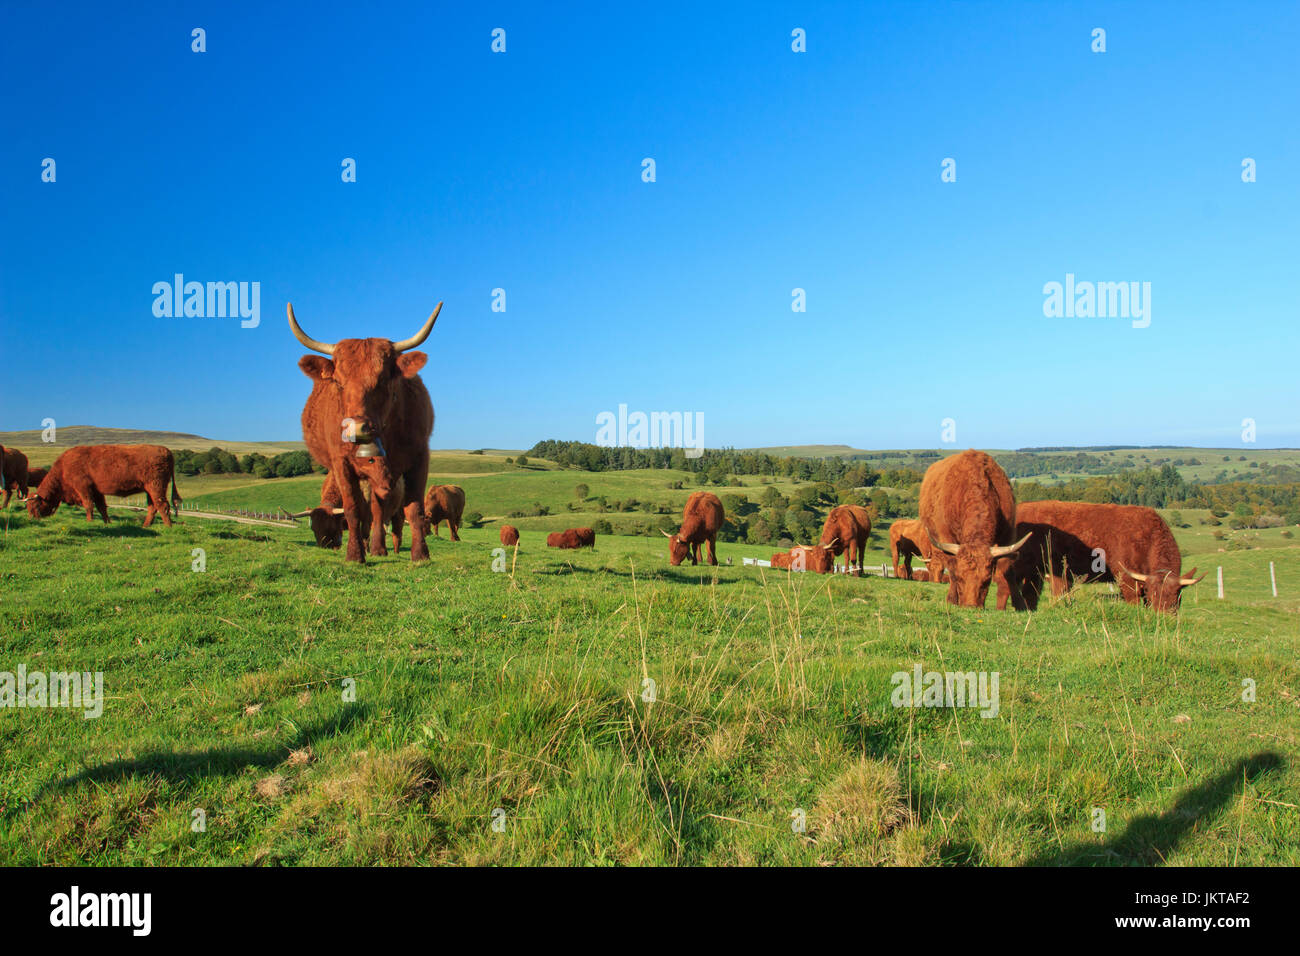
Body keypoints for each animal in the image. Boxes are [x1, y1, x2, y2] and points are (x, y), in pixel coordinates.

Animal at [25, 444, 180, 528]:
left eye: (35, 505)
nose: (32, 519)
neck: (63, 468)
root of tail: (166, 451)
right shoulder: (97, 491)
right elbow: (101, 507)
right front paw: (107, 522)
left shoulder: (83, 488)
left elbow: (88, 505)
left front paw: (89, 521)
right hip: (150, 490)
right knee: (153, 507)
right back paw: (145, 525)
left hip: (156, 487)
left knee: (163, 506)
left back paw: (168, 526)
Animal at [920, 450, 1029, 613]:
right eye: (961, 578)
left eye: (987, 580)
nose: (971, 607)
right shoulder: (946, 538)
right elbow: (952, 568)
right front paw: (952, 599)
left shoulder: (1008, 537)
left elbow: (1008, 570)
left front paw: (1019, 604)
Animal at [1008, 502, 1201, 613]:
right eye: (1155, 595)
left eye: (1177, 595)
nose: (1165, 616)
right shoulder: (1126, 577)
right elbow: (1133, 600)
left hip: (1037, 571)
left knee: (1032, 592)